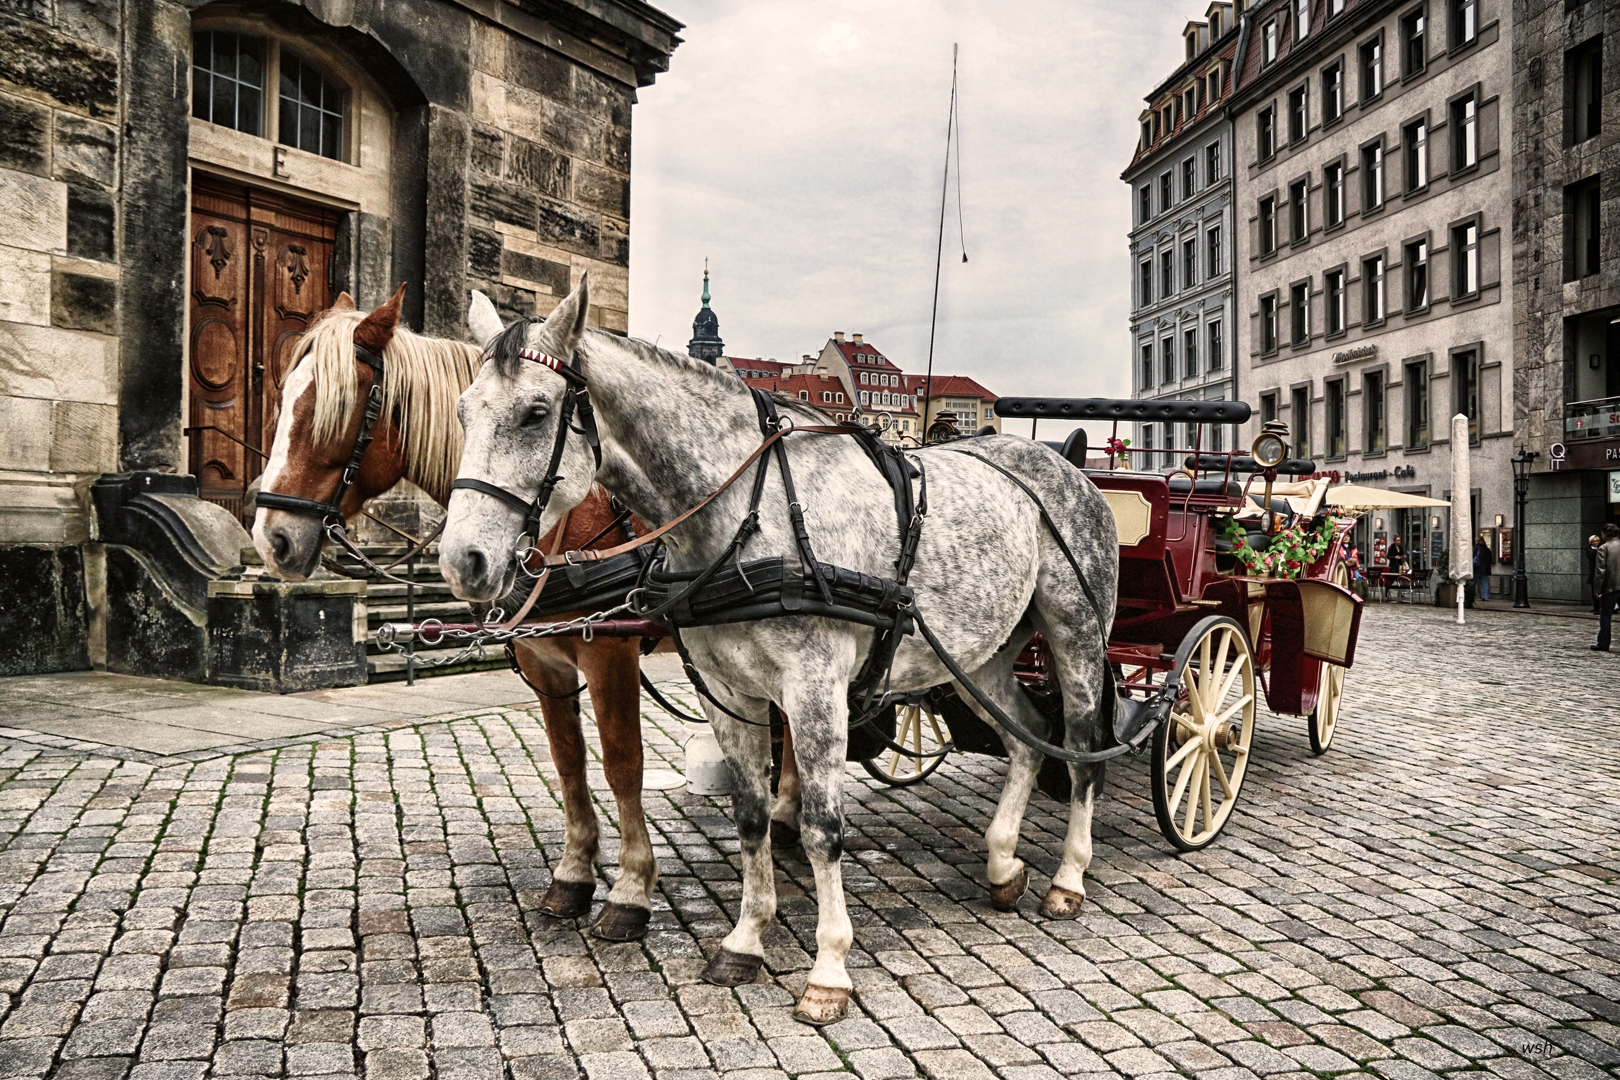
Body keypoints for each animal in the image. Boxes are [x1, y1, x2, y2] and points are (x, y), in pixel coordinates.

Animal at [249, 284, 660, 939]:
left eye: (328, 410)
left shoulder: (612, 652)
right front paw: (574, 875)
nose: (271, 540)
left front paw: (631, 890)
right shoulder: (544, 661)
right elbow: (568, 761)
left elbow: (623, 763)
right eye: (282, 400)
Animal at [443, 275, 1127, 1029]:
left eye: (537, 413)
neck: (747, 509)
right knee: (1027, 736)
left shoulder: (813, 690)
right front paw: (745, 940)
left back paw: (1068, 878)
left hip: (1075, 636)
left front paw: (828, 972)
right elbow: (749, 816)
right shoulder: (729, 692)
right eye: (464, 412)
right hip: (980, 654)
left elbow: (824, 826)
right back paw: (1003, 864)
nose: (463, 561)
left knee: (1081, 748)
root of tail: (1063, 460)